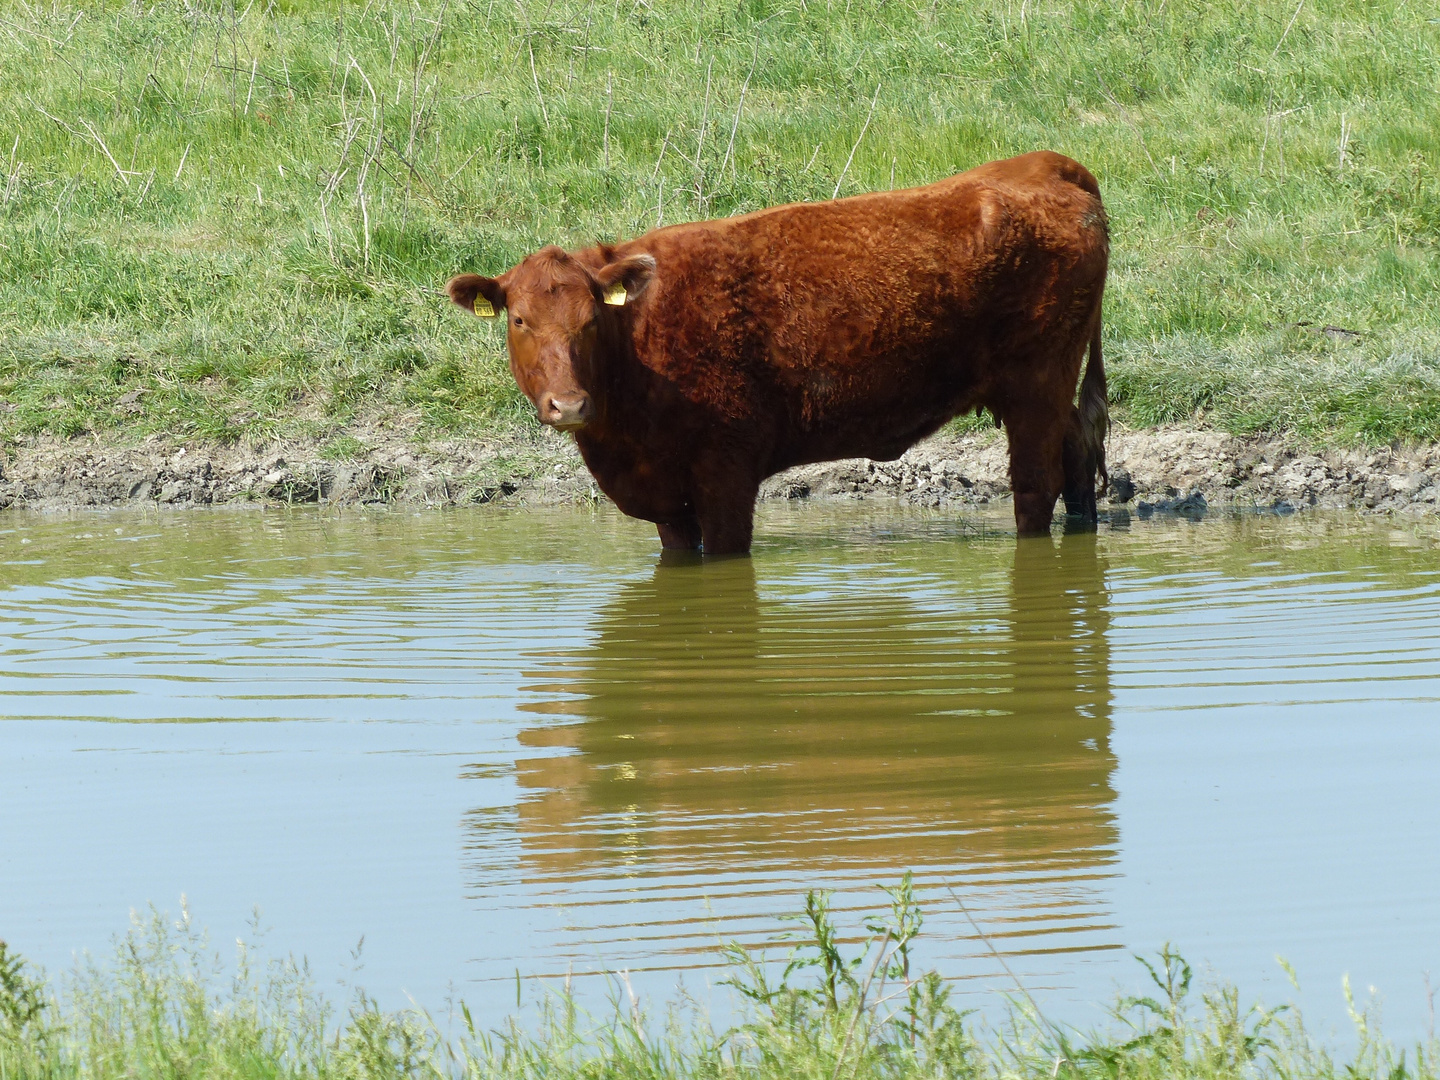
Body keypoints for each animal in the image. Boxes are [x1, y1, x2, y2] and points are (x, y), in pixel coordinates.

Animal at [443, 150, 1105, 558]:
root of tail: (1046, 164)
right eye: (521, 320)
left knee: (1035, 487)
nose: (570, 404)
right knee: (1077, 453)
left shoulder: (726, 475)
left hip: (1036, 384)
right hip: (1051, 389)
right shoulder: (668, 504)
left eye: (589, 321)